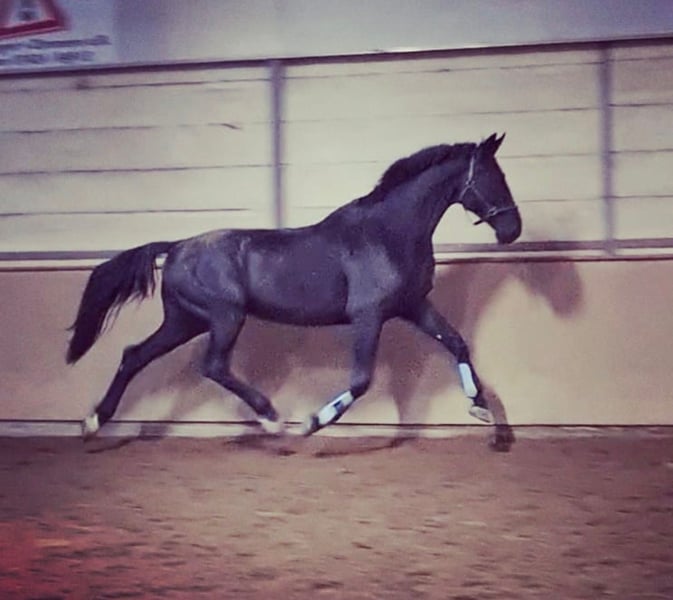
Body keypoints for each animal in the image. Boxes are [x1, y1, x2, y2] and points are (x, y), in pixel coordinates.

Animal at [67, 133, 521, 446]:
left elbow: (457, 342)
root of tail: (177, 246)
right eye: (491, 176)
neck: (388, 232)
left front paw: (482, 410)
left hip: (185, 321)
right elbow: (361, 379)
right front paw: (311, 423)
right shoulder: (368, 316)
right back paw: (271, 417)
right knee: (213, 365)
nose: (512, 229)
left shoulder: (412, 305)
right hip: (224, 316)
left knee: (135, 356)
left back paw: (93, 422)